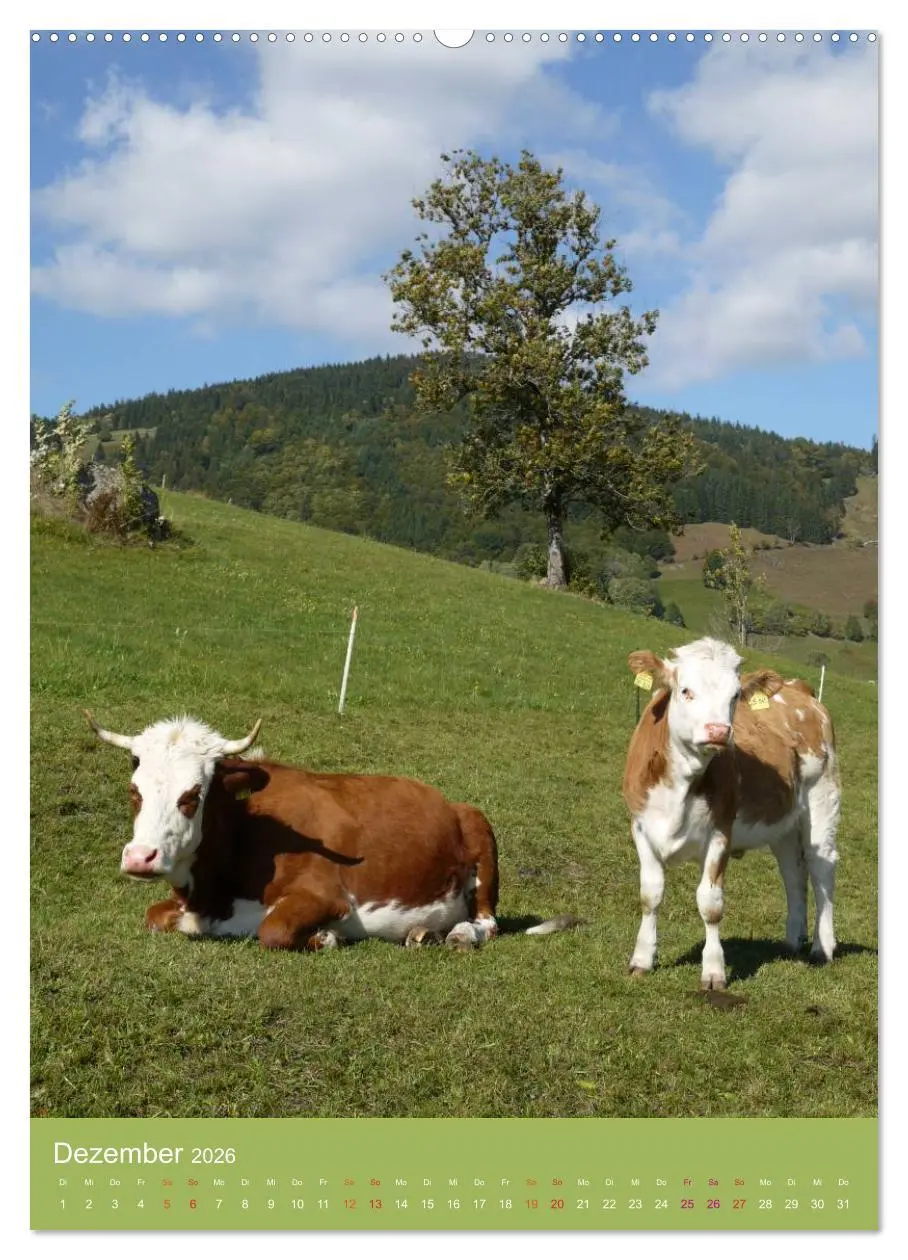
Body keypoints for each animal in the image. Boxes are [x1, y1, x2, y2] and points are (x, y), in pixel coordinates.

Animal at [85, 712, 578, 951]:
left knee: (486, 923)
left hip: (481, 836)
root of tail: (450, 801)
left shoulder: (327, 894)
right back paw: (424, 934)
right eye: (134, 791)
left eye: (192, 795)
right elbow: (152, 916)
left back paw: (458, 936)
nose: (140, 857)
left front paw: (326, 937)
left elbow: (273, 931)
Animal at [622, 637, 840, 990]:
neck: (681, 784)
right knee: (794, 873)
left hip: (823, 798)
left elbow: (710, 904)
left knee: (822, 868)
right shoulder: (641, 827)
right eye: (685, 690)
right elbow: (650, 895)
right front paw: (642, 959)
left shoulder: (720, 832)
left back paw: (823, 947)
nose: (719, 731)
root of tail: (800, 689)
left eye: (735, 695)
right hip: (783, 824)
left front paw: (714, 971)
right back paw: (793, 940)